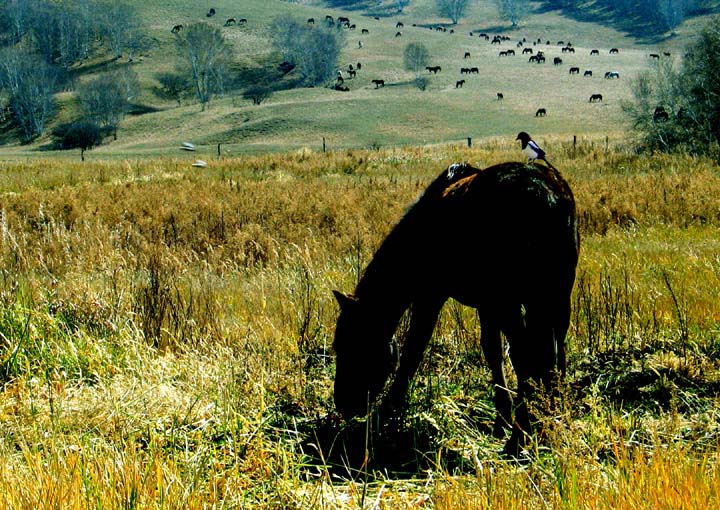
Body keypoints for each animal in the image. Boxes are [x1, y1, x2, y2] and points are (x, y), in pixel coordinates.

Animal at [334, 162, 580, 454]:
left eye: (353, 346)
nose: (344, 404)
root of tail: (548, 196)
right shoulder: (488, 305)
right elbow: (493, 352)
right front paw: (501, 420)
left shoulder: (431, 296)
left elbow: (413, 350)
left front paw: (386, 413)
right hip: (554, 298)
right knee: (553, 355)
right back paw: (549, 421)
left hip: (515, 303)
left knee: (527, 357)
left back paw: (519, 438)